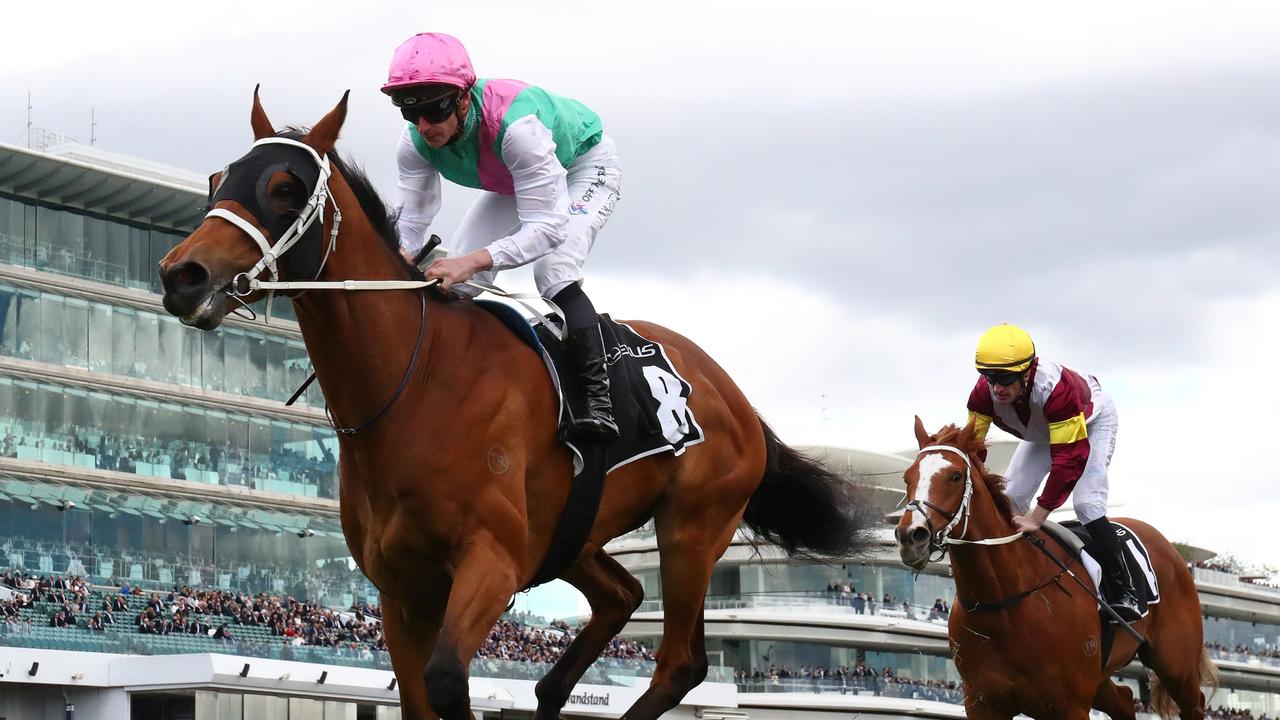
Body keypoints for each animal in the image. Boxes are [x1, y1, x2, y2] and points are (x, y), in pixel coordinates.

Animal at [154, 92, 875, 717]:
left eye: (284, 187)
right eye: (219, 178)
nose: (181, 275)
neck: (414, 388)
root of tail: (733, 394)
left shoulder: (491, 561)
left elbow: (448, 679)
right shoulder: (401, 589)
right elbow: (417, 695)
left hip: (693, 526)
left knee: (680, 662)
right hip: (576, 534)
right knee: (623, 597)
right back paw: (553, 689)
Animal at [896, 417, 1213, 717]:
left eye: (955, 476)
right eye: (907, 477)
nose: (912, 536)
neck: (1004, 602)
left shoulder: (1070, 705)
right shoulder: (982, 703)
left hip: (1176, 665)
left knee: (1194, 705)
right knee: (1124, 700)